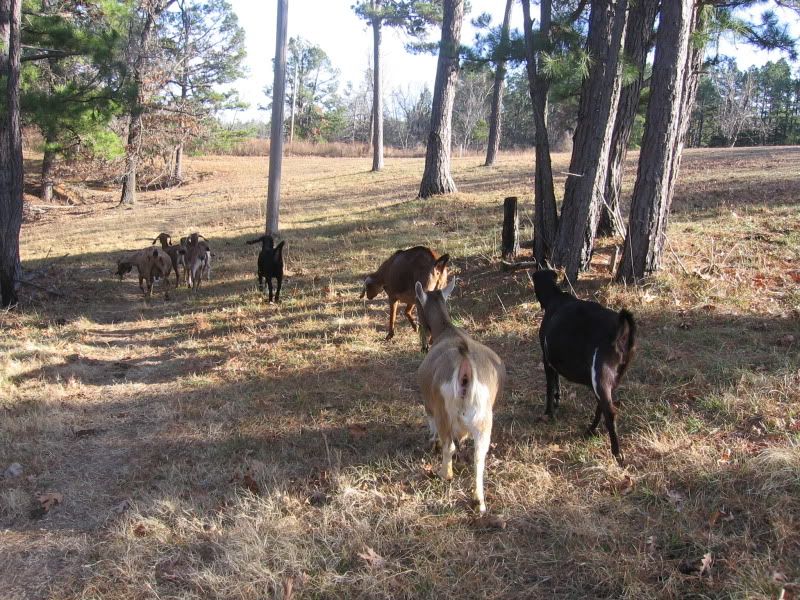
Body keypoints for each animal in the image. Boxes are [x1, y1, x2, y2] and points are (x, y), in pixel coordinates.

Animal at [416, 279, 505, 514]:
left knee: (449, 446)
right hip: (484, 419)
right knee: (479, 457)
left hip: (444, 413)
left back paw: (444, 474)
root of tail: (465, 368)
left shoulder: (430, 404)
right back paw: (479, 500)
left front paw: (431, 441)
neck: (448, 330)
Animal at [533, 269, 636, 465]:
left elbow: (549, 388)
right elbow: (557, 384)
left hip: (599, 376)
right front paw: (557, 401)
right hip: (611, 378)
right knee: (602, 406)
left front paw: (548, 414)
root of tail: (622, 330)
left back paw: (617, 453)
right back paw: (590, 431)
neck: (556, 298)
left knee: (609, 412)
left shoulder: (546, 359)